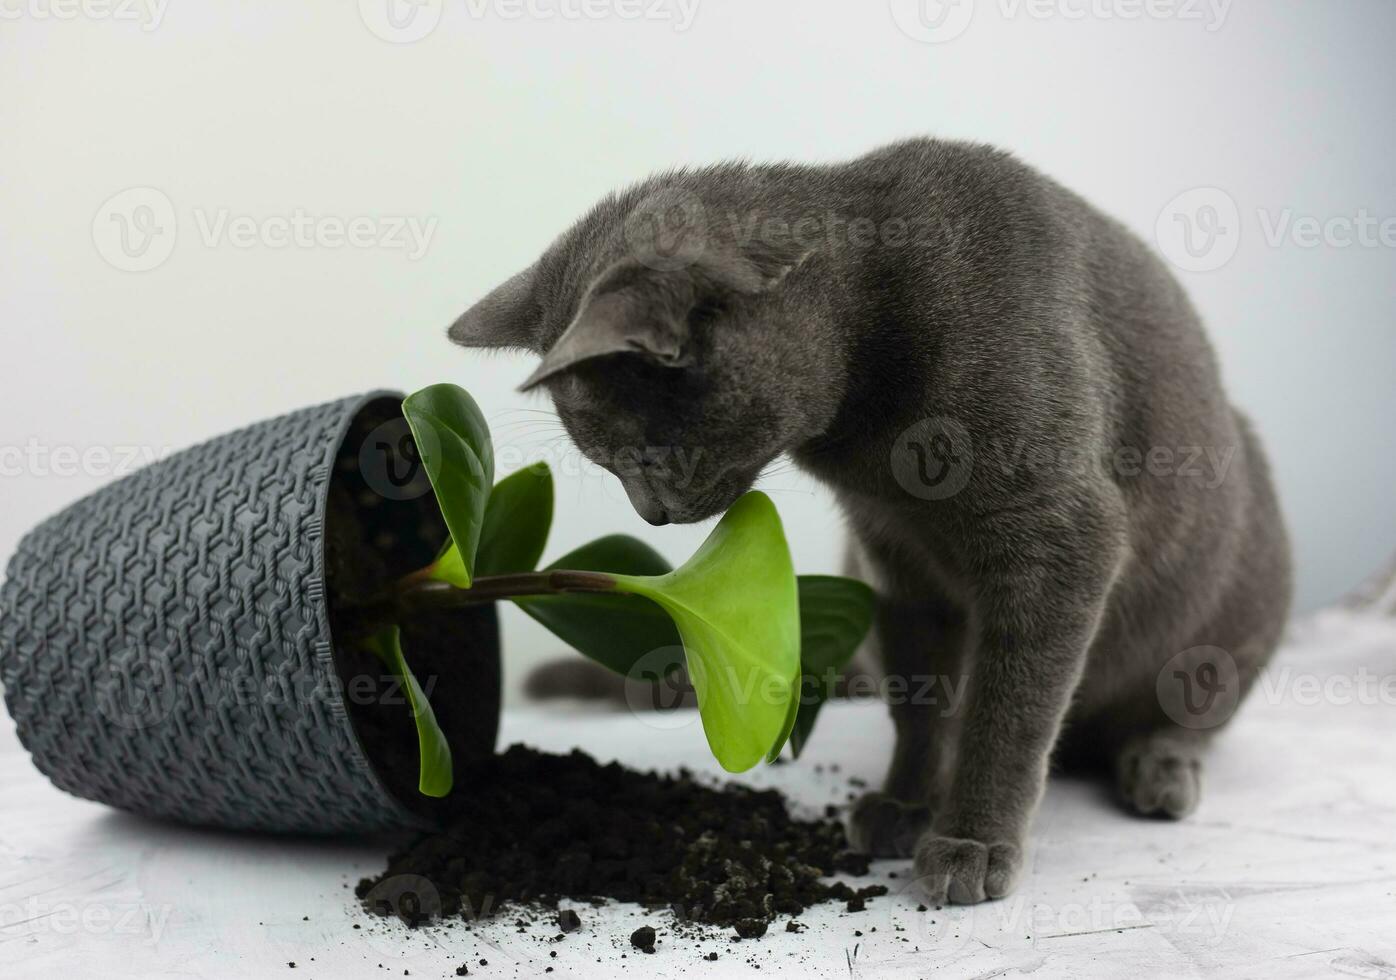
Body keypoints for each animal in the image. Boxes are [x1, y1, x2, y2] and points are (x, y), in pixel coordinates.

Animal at [446, 138, 1284, 904]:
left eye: (644, 457)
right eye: (611, 463)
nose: (648, 515)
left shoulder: (1061, 535)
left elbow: (1009, 707)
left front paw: (971, 841)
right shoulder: (892, 554)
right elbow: (921, 700)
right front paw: (906, 803)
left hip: (1236, 604)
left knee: (1190, 705)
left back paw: (1159, 767)